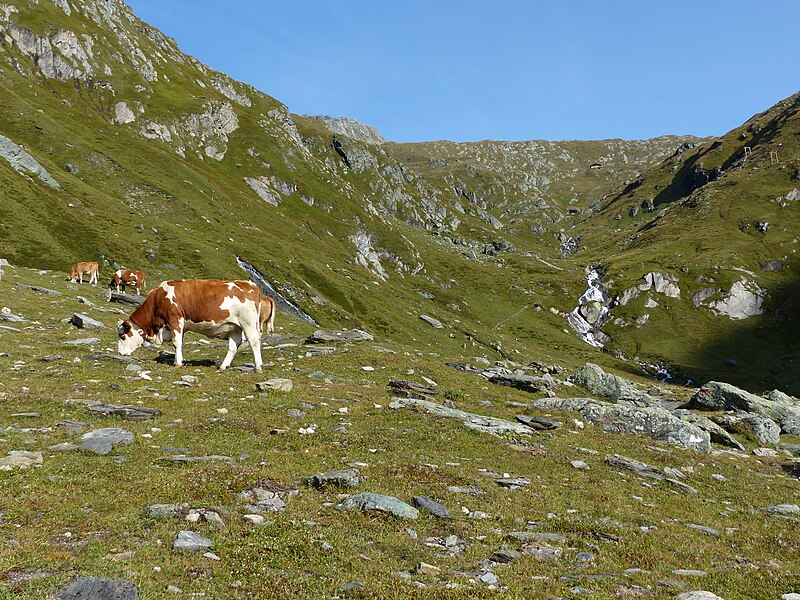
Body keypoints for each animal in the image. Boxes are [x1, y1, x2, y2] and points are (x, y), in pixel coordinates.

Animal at [116, 280, 276, 370]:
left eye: (122, 336)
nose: (119, 353)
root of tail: (251, 284)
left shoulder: (175, 319)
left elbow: (176, 343)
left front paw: (177, 363)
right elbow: (180, 342)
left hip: (248, 322)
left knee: (254, 341)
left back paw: (258, 366)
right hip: (234, 326)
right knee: (233, 346)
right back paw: (223, 366)